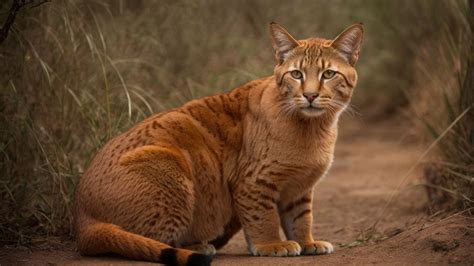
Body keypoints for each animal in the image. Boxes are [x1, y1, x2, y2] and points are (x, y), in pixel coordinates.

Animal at [74, 21, 362, 264]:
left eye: (328, 74)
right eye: (296, 74)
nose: (310, 95)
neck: (314, 128)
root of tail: (83, 216)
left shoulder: (299, 188)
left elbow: (301, 218)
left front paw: (307, 242)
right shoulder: (253, 182)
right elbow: (263, 217)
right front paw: (270, 245)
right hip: (170, 165)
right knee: (145, 241)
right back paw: (198, 247)